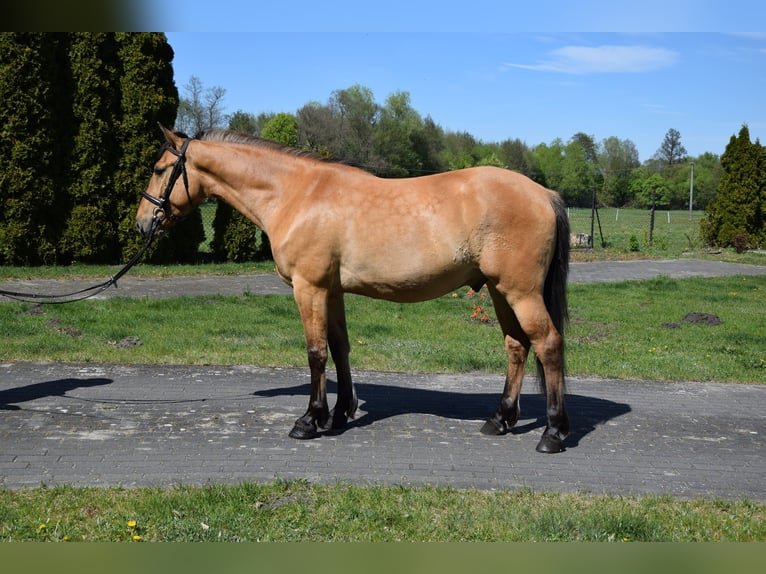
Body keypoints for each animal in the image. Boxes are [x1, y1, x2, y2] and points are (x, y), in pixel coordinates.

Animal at [136, 125, 571, 454]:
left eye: (159, 168)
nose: (142, 223)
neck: (297, 194)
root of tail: (544, 194)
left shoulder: (308, 288)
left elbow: (316, 353)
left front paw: (309, 419)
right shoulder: (332, 291)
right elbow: (339, 347)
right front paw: (341, 411)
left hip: (520, 292)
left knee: (548, 344)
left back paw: (553, 432)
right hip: (499, 291)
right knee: (517, 346)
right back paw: (500, 419)